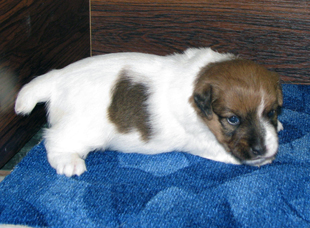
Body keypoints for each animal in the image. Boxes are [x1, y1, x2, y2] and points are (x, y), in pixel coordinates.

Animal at [15, 47, 284, 176]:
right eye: (233, 119)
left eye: (271, 112)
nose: (261, 149)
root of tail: (56, 78)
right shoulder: (203, 141)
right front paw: (264, 159)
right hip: (85, 129)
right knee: (54, 139)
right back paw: (68, 162)